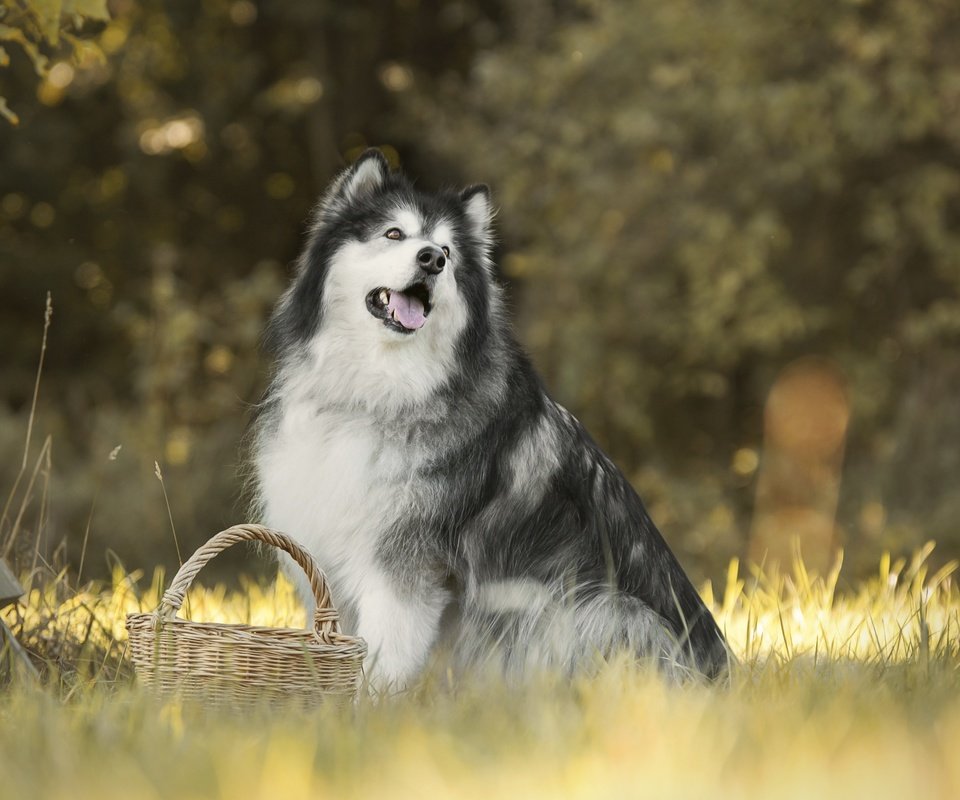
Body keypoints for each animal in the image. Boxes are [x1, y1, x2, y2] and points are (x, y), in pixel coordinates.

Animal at [251, 150, 732, 688]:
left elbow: (381, 660)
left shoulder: (403, 571)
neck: (383, 389)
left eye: (446, 250)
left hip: (593, 608)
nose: (432, 260)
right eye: (394, 233)